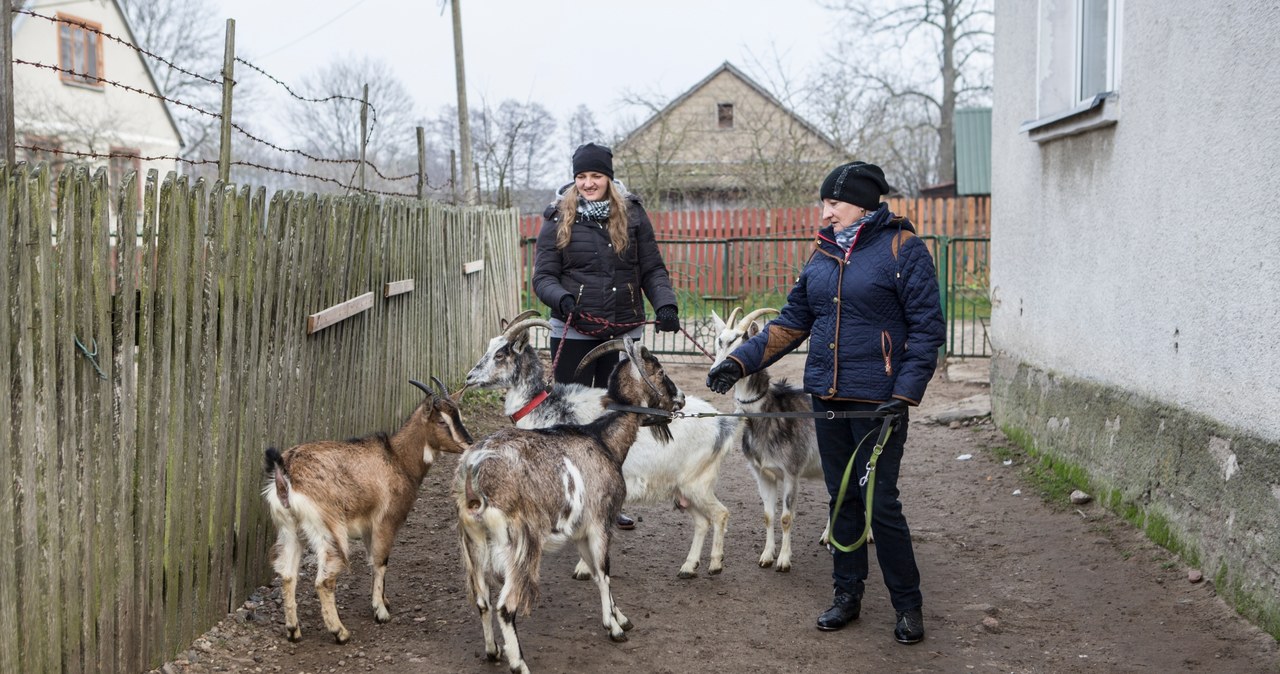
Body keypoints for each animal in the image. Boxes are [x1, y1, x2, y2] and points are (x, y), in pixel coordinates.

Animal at [264, 376, 476, 647]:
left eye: (457, 414)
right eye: (441, 420)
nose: (469, 444)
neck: (397, 459)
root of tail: (285, 472)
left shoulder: (368, 527)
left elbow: (373, 561)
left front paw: (384, 600)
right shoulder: (386, 521)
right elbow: (381, 560)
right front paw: (381, 612)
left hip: (289, 530)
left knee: (288, 575)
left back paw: (293, 631)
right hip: (328, 530)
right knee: (324, 581)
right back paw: (340, 632)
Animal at [455, 340, 686, 670]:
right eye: (661, 370)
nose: (680, 399)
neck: (603, 439)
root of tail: (475, 475)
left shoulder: (579, 531)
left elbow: (594, 571)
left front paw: (620, 617)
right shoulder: (600, 522)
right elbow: (603, 572)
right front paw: (614, 628)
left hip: (473, 544)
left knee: (482, 600)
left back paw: (492, 651)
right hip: (517, 546)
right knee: (505, 607)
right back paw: (519, 663)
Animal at [465, 313, 737, 578]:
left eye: (500, 354)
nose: (469, 377)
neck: (544, 407)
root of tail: (722, 422)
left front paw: (583, 568)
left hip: (697, 484)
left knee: (720, 514)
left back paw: (715, 564)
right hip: (682, 489)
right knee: (702, 521)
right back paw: (689, 567)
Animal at [711, 308, 829, 572]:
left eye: (742, 339)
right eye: (720, 340)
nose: (716, 370)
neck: (767, 414)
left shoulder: (791, 472)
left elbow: (786, 517)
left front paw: (784, 560)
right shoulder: (762, 473)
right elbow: (768, 515)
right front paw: (766, 556)